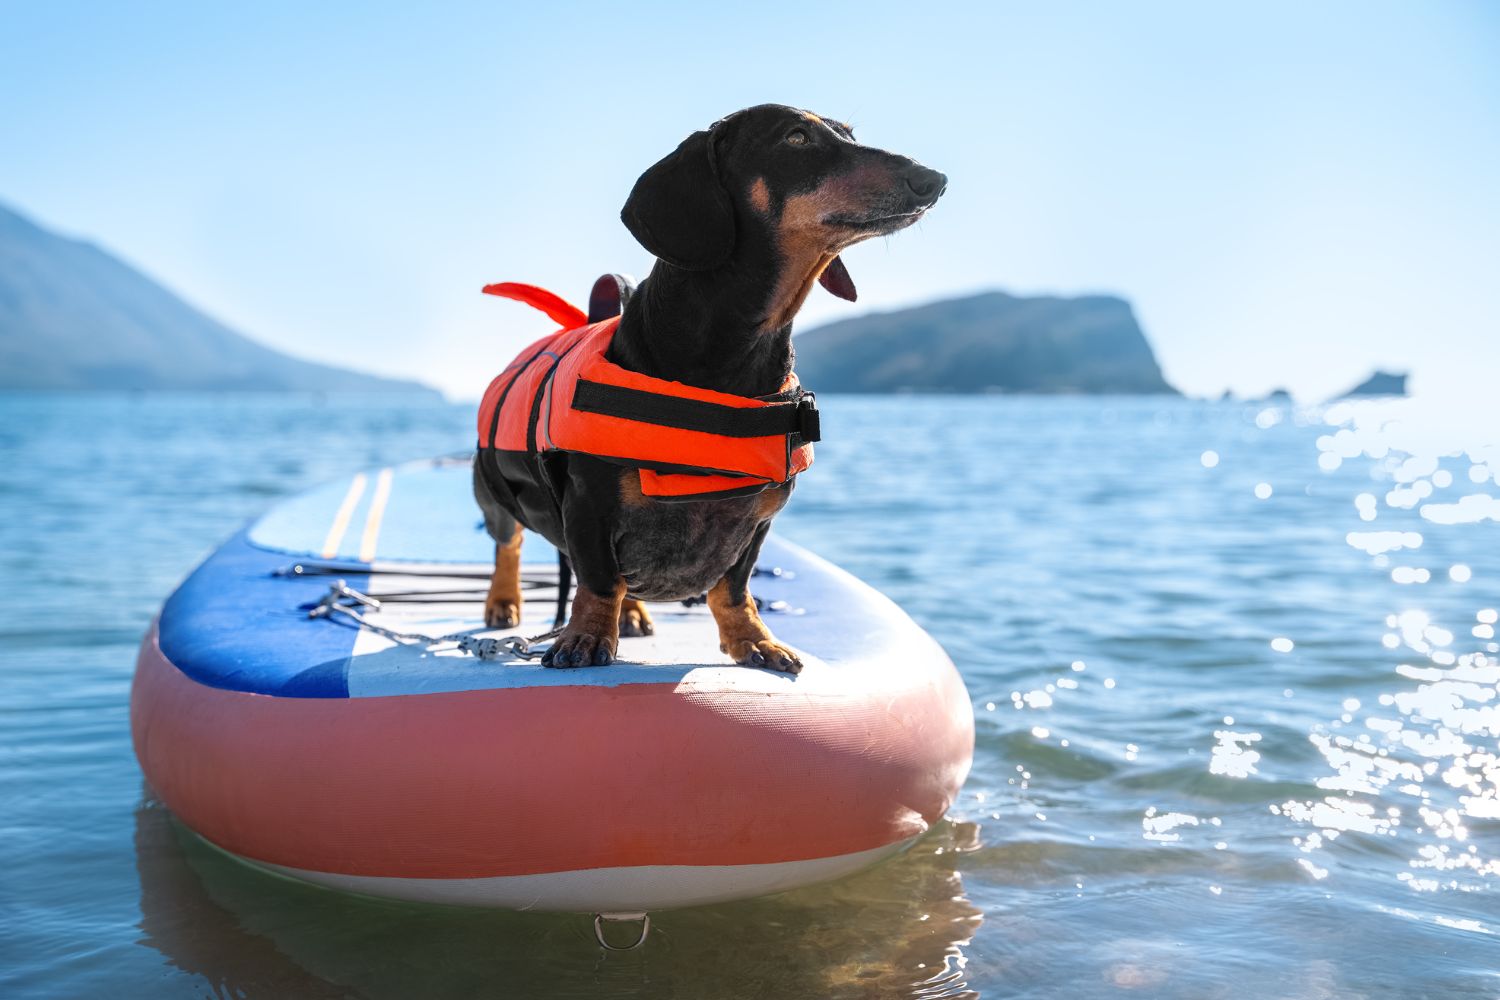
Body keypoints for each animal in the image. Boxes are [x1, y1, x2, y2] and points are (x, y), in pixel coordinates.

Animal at [474, 103, 942, 671]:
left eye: (850, 135)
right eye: (796, 137)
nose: (933, 180)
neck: (729, 357)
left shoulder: (758, 521)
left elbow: (733, 587)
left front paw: (753, 640)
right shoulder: (588, 506)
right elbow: (600, 580)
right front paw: (584, 636)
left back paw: (634, 615)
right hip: (494, 496)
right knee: (510, 545)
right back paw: (504, 602)